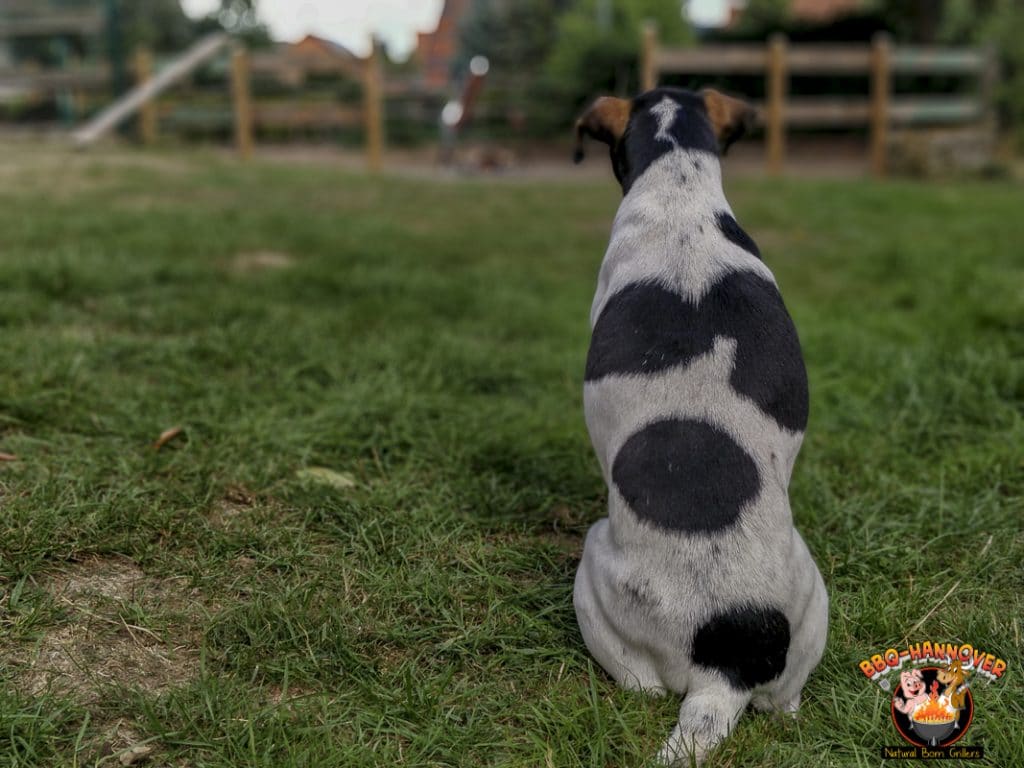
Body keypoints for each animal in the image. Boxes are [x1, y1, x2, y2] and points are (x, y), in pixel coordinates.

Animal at [573, 87, 827, 765]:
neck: (679, 192)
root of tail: (725, 668)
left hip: (592, 569)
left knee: (642, 687)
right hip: (813, 597)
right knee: (786, 703)